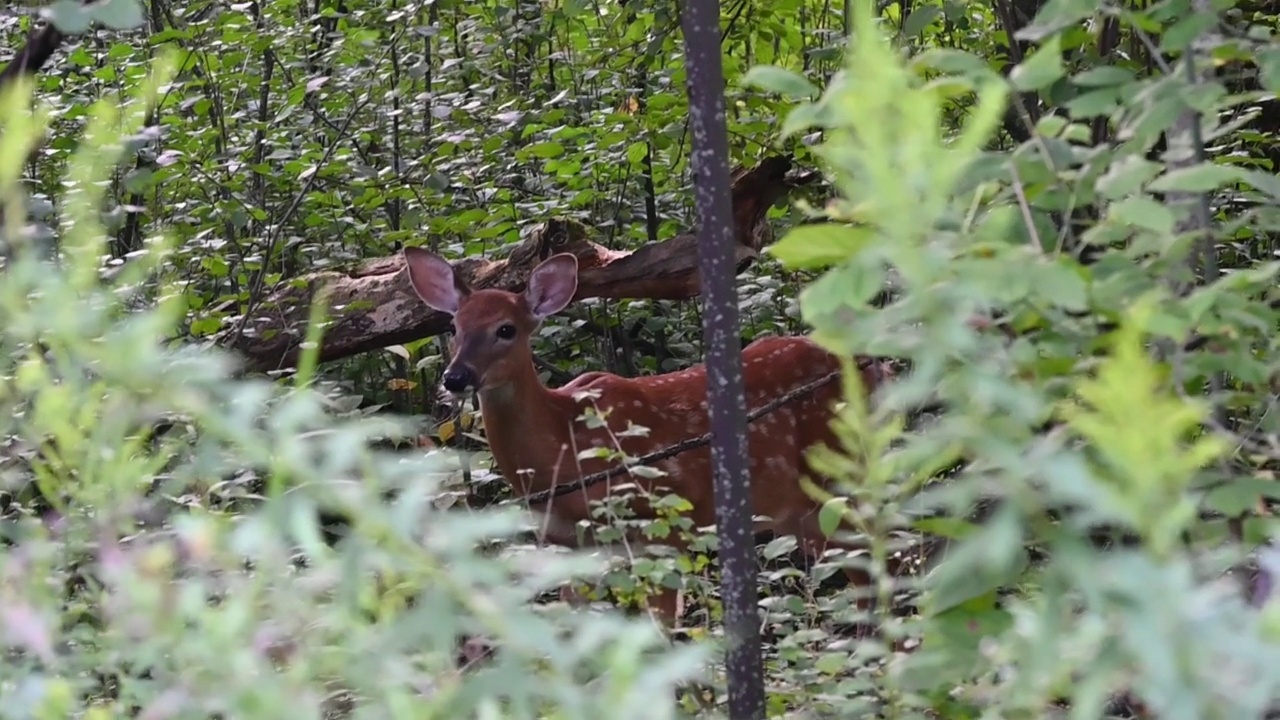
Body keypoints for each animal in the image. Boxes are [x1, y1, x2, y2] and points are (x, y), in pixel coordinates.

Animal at [399, 243, 890, 625]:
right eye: (454, 327)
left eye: (506, 329)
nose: (456, 377)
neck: (563, 446)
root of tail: (875, 367)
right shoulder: (566, 545)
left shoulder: (660, 526)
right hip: (798, 509)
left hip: (839, 477)